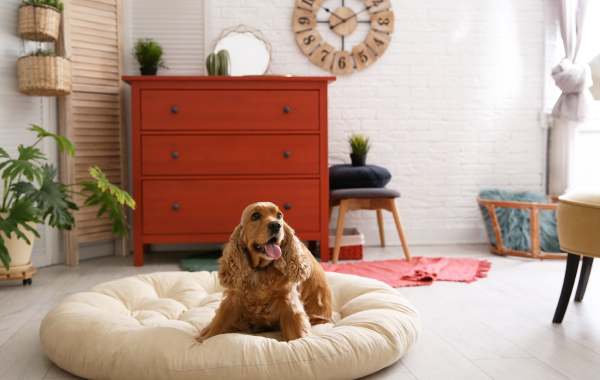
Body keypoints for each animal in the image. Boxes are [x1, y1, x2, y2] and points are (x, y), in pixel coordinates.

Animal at [200, 202, 332, 342]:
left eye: (279, 215)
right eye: (255, 216)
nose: (276, 225)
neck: (261, 270)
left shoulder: (288, 302)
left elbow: (296, 334)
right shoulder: (233, 299)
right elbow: (217, 325)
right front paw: (203, 339)